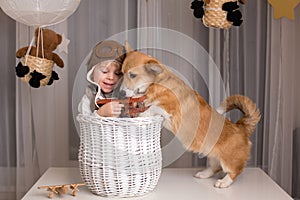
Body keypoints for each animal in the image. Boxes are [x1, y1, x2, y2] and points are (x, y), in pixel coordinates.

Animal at [118, 42, 262, 188]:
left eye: (133, 75)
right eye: (122, 73)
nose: (121, 93)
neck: (158, 83)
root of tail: (241, 127)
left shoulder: (167, 109)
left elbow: (152, 107)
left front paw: (140, 114)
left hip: (229, 160)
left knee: (234, 171)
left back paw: (223, 182)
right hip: (210, 153)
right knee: (215, 167)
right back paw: (203, 174)